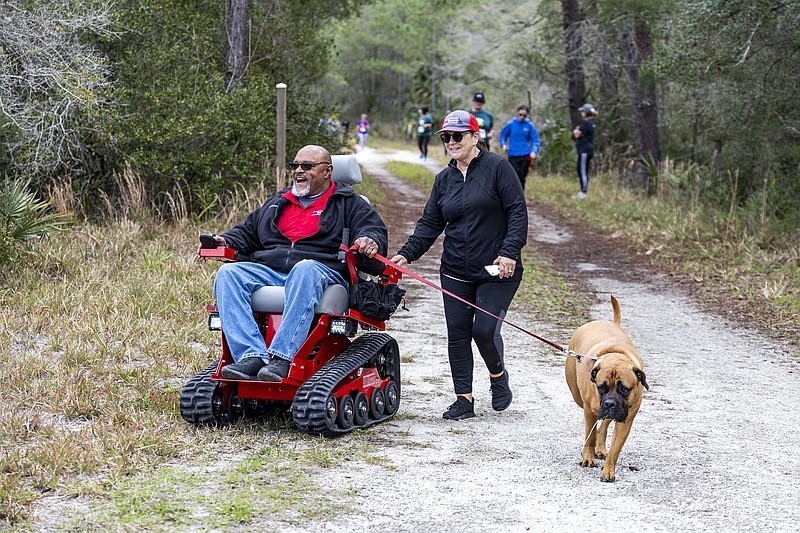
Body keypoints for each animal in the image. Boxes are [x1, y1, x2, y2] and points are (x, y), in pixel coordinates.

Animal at [564, 296, 648, 482]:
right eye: (601, 387)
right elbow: (589, 436)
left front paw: (608, 470)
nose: (609, 403)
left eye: (624, 389)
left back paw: (601, 448)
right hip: (578, 397)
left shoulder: (626, 420)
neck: (616, 356)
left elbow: (615, 448)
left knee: (603, 426)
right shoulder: (589, 410)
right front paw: (588, 458)